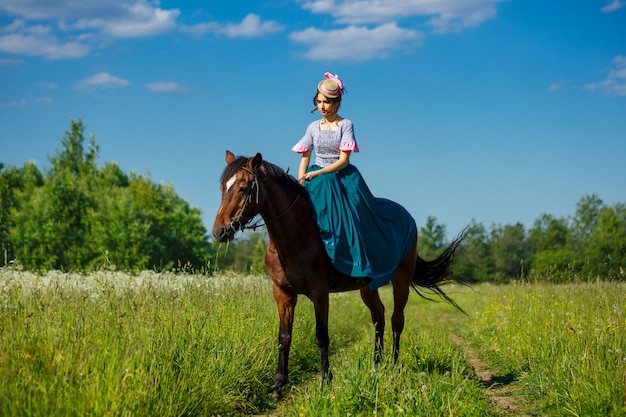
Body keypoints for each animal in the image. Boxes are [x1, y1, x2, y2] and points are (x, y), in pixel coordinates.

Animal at [212, 151, 460, 394]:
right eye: (223, 187)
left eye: (244, 188)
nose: (219, 232)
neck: (297, 236)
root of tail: (408, 217)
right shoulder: (282, 293)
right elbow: (284, 337)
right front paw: (278, 384)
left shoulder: (320, 293)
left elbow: (322, 337)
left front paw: (325, 381)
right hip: (367, 288)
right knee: (378, 317)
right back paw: (376, 365)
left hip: (402, 280)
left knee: (396, 320)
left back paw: (395, 365)